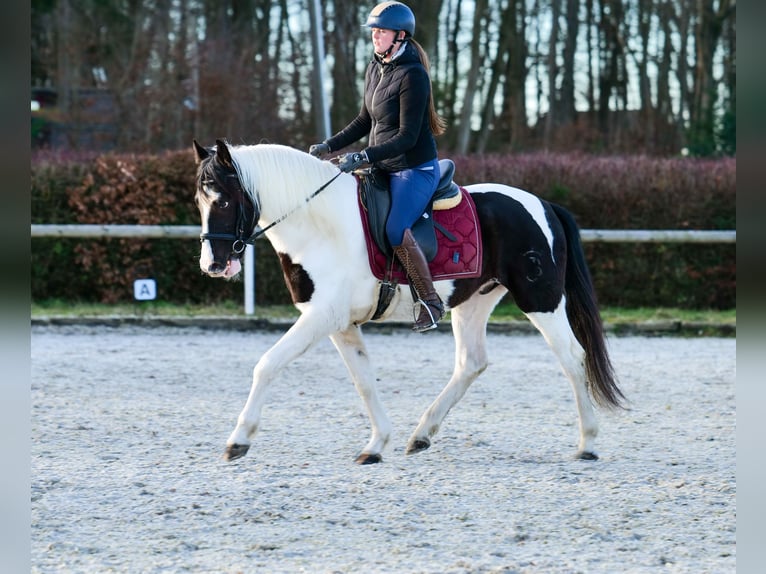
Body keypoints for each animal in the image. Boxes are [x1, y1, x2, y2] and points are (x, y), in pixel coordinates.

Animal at [192, 141, 624, 468]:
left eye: (225, 201)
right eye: (199, 201)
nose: (213, 264)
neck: (320, 225)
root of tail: (543, 204)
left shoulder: (322, 317)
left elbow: (267, 364)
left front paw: (238, 440)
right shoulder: (340, 323)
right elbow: (364, 381)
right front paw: (376, 444)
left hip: (541, 300)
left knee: (573, 357)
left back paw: (588, 443)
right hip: (474, 301)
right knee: (472, 363)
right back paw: (421, 434)